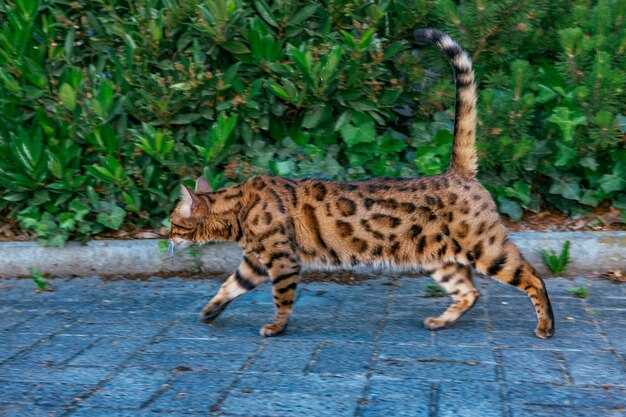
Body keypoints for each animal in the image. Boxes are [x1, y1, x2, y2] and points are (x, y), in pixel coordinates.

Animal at [166, 30, 552, 340]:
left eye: (173, 223)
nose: (164, 236)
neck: (239, 208)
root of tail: (457, 172)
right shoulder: (256, 263)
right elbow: (229, 286)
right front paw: (210, 310)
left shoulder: (282, 259)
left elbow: (281, 299)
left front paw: (276, 328)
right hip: (437, 258)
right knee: (469, 291)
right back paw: (440, 322)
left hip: (486, 248)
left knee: (532, 276)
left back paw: (546, 326)